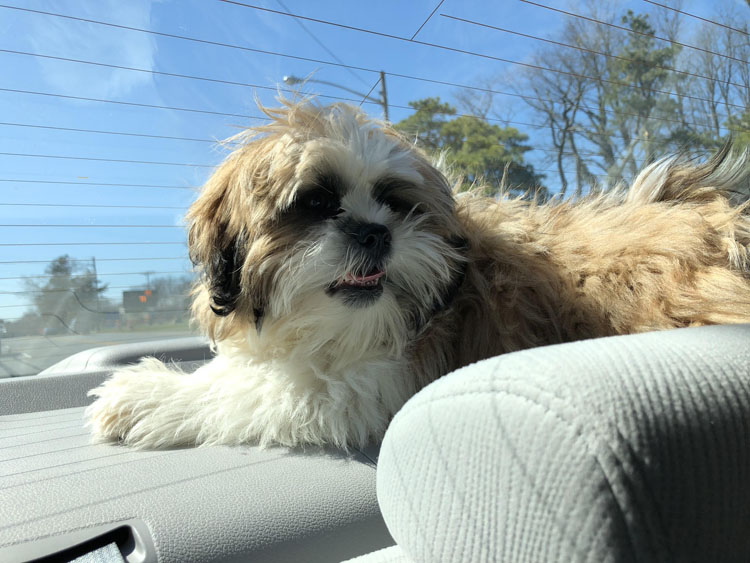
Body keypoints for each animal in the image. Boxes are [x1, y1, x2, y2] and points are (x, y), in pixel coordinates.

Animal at [86, 98, 750, 450]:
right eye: (315, 203)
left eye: (396, 203)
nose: (374, 232)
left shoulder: (366, 384)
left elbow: (260, 391)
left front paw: (148, 397)